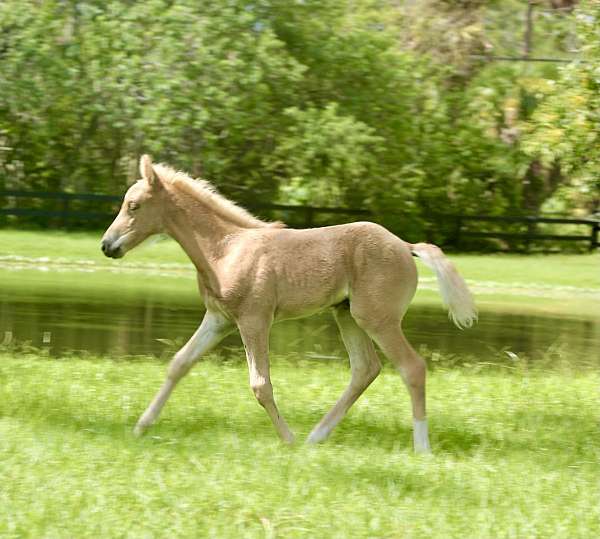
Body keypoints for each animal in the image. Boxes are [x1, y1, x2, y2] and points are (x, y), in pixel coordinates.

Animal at [103, 155, 478, 452]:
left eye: (134, 205)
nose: (107, 246)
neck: (225, 248)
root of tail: (405, 245)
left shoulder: (254, 320)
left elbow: (260, 384)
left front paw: (287, 439)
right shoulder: (219, 319)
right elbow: (179, 364)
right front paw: (141, 426)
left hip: (377, 319)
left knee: (412, 367)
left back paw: (421, 448)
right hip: (347, 316)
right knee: (365, 369)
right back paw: (317, 436)